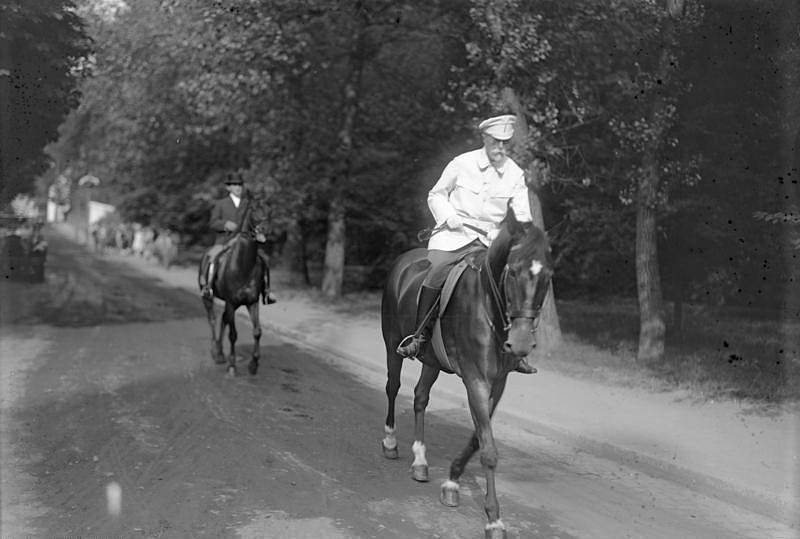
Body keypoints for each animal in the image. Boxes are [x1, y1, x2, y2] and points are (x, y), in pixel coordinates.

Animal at [198, 196, 274, 378]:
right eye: (253, 209)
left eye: (270, 210)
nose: (265, 229)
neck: (244, 265)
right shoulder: (231, 302)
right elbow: (233, 334)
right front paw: (232, 366)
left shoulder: (252, 302)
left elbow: (257, 331)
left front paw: (254, 364)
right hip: (208, 298)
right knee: (213, 319)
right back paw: (216, 352)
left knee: (223, 319)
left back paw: (220, 352)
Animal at [380, 208, 552, 539]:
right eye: (513, 271)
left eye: (547, 277)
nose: (521, 344)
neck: (490, 307)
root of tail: (404, 261)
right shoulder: (476, 380)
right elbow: (488, 450)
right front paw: (494, 519)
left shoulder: (496, 384)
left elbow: (478, 440)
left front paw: (452, 481)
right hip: (392, 342)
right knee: (393, 387)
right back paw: (391, 442)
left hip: (432, 360)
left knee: (420, 398)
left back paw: (420, 461)